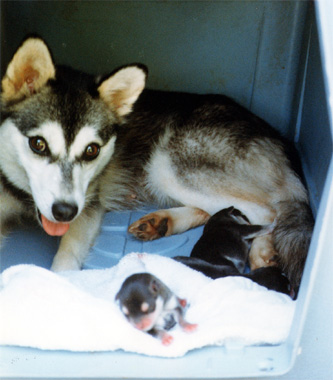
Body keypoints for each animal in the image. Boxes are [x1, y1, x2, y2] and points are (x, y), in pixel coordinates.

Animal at [0, 37, 312, 288]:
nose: (65, 211)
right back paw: (162, 221)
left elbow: (66, 256)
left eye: (91, 150)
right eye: (38, 144)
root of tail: (279, 136)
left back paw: (261, 250)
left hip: (167, 165)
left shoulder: (88, 204)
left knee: (267, 212)